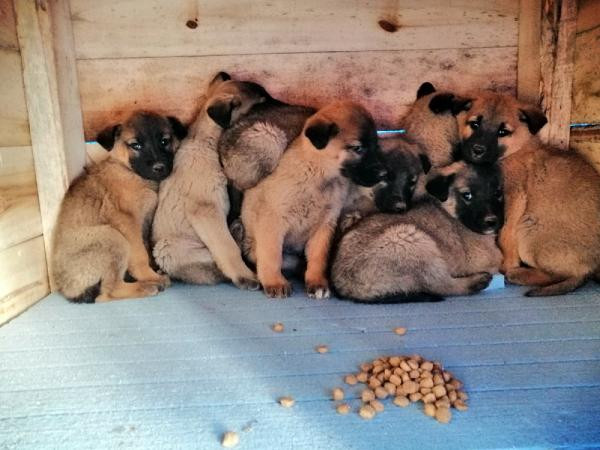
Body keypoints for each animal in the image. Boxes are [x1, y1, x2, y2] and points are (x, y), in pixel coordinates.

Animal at [52, 112, 186, 302]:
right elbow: (140, 254)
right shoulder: (127, 222)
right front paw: (150, 275)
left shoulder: (144, 223)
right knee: (109, 291)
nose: (159, 168)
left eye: (164, 141)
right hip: (112, 237)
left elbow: (146, 247)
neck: (129, 172)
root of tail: (66, 289)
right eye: (135, 145)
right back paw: (146, 286)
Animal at [152, 70, 268, 288]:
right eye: (261, 102)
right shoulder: (206, 211)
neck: (203, 140)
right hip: (167, 248)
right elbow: (228, 249)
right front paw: (244, 276)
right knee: (215, 268)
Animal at [241, 101, 386, 298]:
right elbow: (272, 255)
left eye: (376, 145)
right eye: (358, 148)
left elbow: (318, 257)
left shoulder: (325, 226)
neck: (318, 175)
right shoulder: (273, 222)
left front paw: (316, 282)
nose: (384, 173)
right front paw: (274, 282)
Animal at [330, 162, 504, 302]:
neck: (451, 212)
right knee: (442, 285)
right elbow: (498, 260)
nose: (492, 222)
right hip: (415, 244)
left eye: (497, 194)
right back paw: (477, 281)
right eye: (467, 195)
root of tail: (347, 286)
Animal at [454, 91, 600, 296]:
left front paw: (506, 264)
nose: (477, 151)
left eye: (503, 132)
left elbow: (505, 234)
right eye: (474, 124)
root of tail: (592, 267)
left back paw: (519, 274)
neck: (513, 152)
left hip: (528, 231)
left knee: (564, 274)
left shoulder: (514, 199)